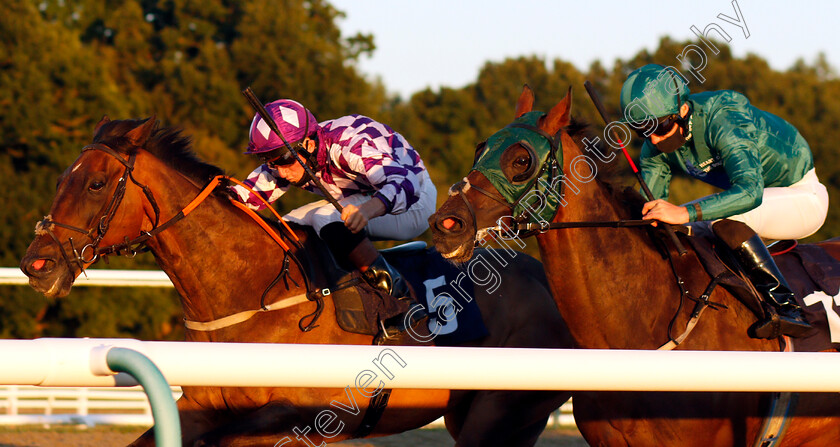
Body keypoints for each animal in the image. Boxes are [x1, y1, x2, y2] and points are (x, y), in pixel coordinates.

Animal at [19, 116, 576, 447]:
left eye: (95, 184)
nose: (36, 264)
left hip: (503, 412)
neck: (254, 295)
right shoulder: (199, 406)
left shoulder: (303, 417)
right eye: (61, 179)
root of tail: (548, 280)